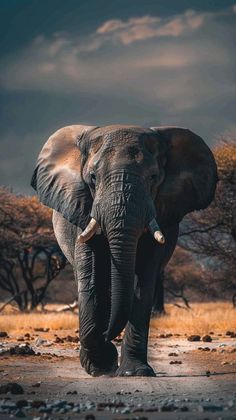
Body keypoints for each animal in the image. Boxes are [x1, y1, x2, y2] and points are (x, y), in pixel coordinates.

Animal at [31, 124, 218, 378]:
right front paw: (101, 365)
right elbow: (91, 278)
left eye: (153, 178)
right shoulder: (83, 209)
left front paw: (134, 372)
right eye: (92, 178)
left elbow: (145, 280)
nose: (106, 337)